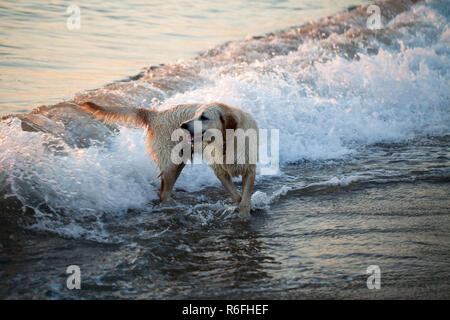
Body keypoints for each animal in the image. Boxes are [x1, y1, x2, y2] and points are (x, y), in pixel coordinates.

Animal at [79, 102, 258, 218]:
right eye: (195, 116)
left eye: (204, 117)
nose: (183, 125)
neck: (227, 141)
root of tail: (157, 114)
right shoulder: (220, 171)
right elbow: (237, 196)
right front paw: (243, 210)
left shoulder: (249, 169)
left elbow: (244, 195)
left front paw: (244, 210)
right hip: (172, 163)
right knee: (163, 192)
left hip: (177, 163)